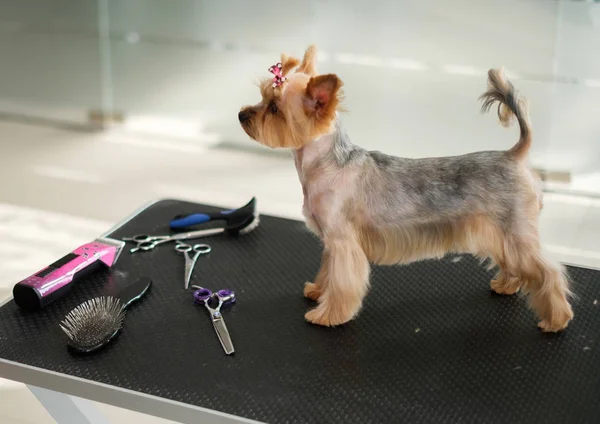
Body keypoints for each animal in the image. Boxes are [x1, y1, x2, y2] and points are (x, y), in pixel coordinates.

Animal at [238, 45, 572, 332]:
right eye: (262, 97)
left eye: (274, 108)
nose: (242, 114)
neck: (327, 162)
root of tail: (514, 155)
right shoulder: (331, 243)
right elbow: (328, 271)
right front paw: (318, 290)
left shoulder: (342, 241)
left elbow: (342, 281)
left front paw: (327, 314)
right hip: (500, 232)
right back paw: (507, 285)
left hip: (516, 230)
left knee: (549, 273)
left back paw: (556, 319)